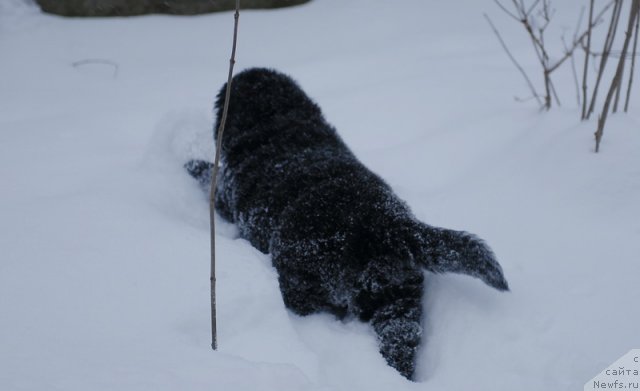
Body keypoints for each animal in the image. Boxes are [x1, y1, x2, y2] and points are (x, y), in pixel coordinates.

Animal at [186, 67, 510, 380]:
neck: (280, 122)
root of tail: (386, 222)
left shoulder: (226, 193)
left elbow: (210, 177)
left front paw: (191, 163)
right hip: (398, 294)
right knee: (401, 335)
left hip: (302, 278)